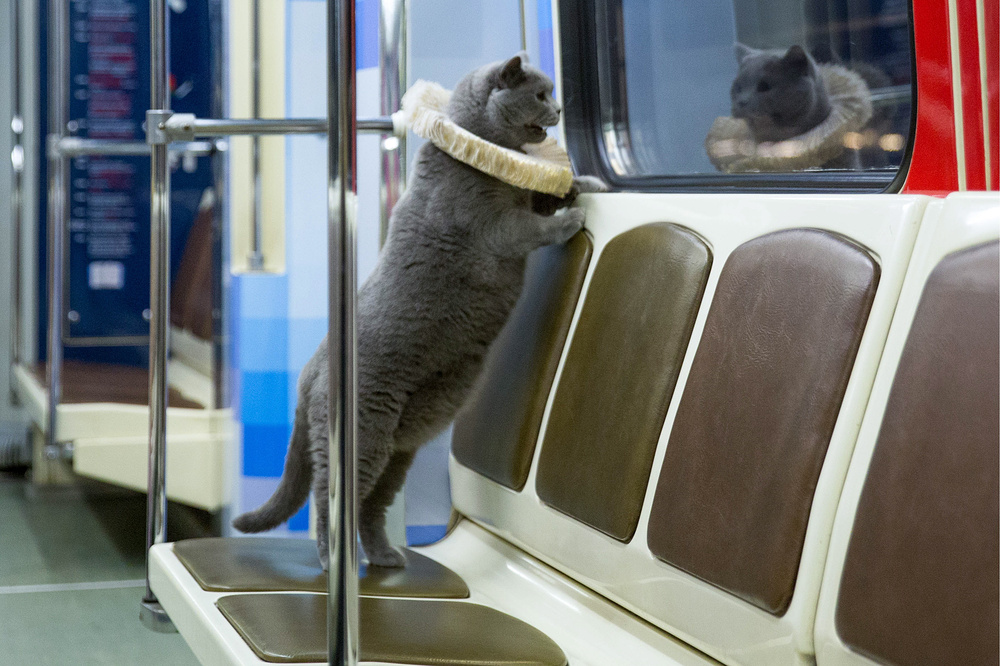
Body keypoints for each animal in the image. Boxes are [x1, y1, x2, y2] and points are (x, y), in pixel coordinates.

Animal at [233, 54, 604, 568]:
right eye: (539, 95)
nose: (561, 107)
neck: (482, 157)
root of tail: (310, 370)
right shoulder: (497, 227)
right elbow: (533, 226)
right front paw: (572, 217)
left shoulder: (522, 195)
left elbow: (545, 196)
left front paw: (584, 183)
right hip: (364, 436)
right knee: (330, 498)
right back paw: (332, 559)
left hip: (400, 449)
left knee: (371, 507)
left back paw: (386, 556)